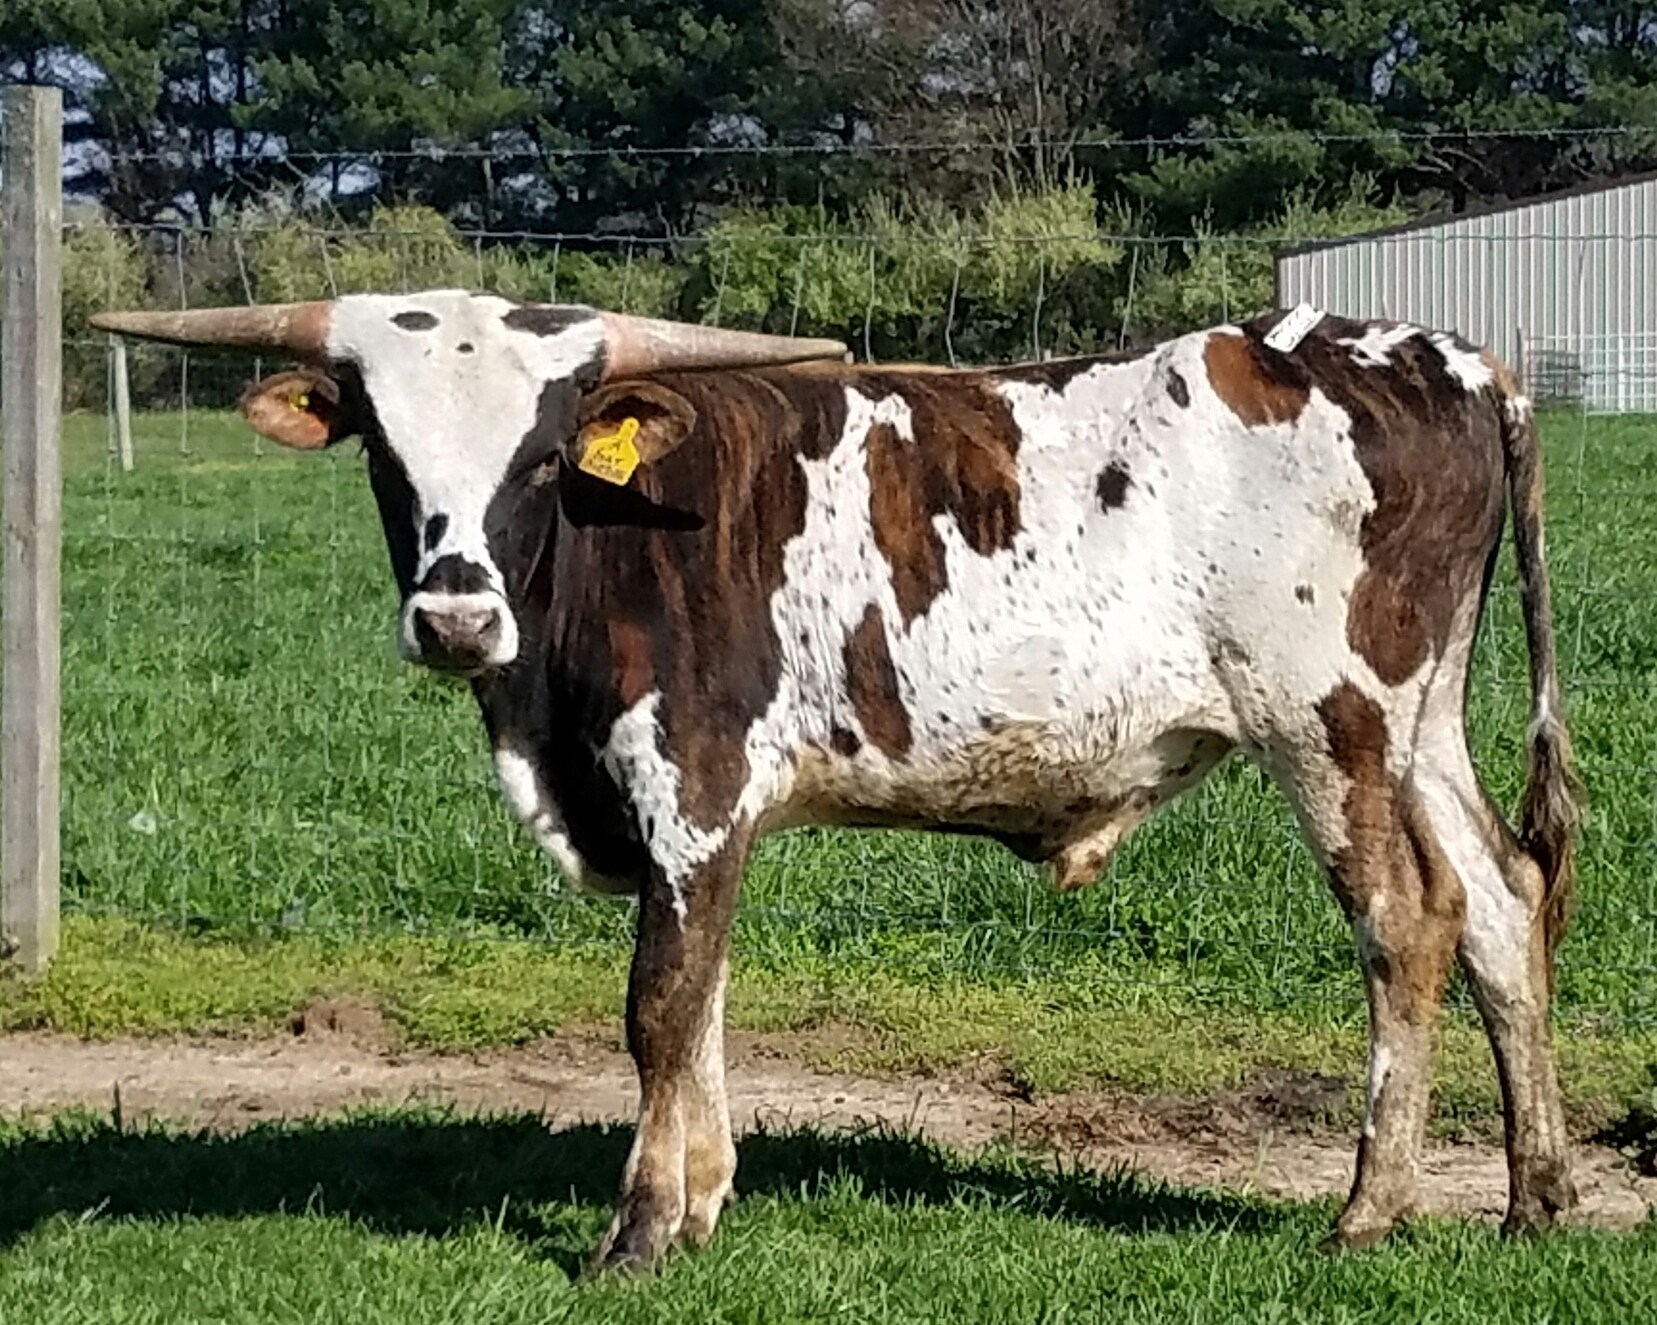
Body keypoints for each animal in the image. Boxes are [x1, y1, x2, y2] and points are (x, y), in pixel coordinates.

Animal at [92, 294, 1582, 1269]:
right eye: (385, 451)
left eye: (544, 451)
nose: (456, 616)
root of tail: (1445, 357)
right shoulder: (702, 822)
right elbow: (704, 999)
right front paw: (702, 1197)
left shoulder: (686, 786)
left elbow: (657, 1007)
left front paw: (641, 1229)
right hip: (1422, 726)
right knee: (1505, 899)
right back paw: (1536, 1196)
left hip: (1328, 724)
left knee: (1409, 923)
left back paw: (1370, 1208)